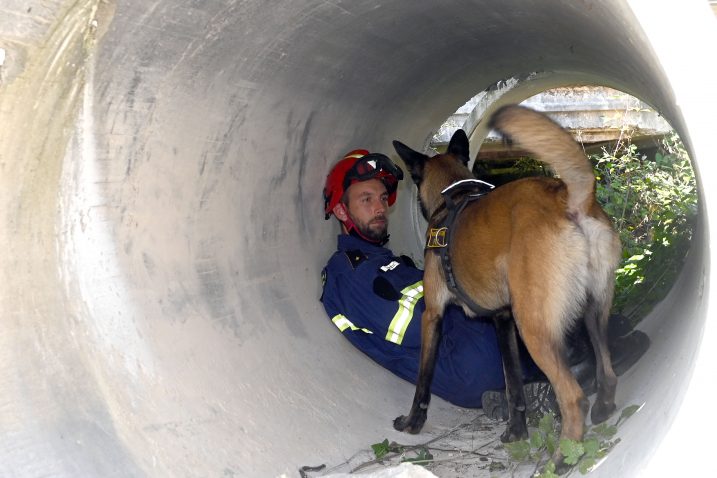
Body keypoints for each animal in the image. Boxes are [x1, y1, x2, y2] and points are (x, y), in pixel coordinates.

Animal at [392, 103, 620, 466]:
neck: (453, 196)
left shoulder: (432, 315)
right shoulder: (503, 321)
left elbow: (422, 380)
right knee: (607, 372)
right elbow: (513, 384)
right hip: (592, 312)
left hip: (534, 329)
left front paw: (413, 423)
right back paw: (603, 410)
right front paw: (516, 431)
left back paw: (560, 460)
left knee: (573, 398)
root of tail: (567, 197)